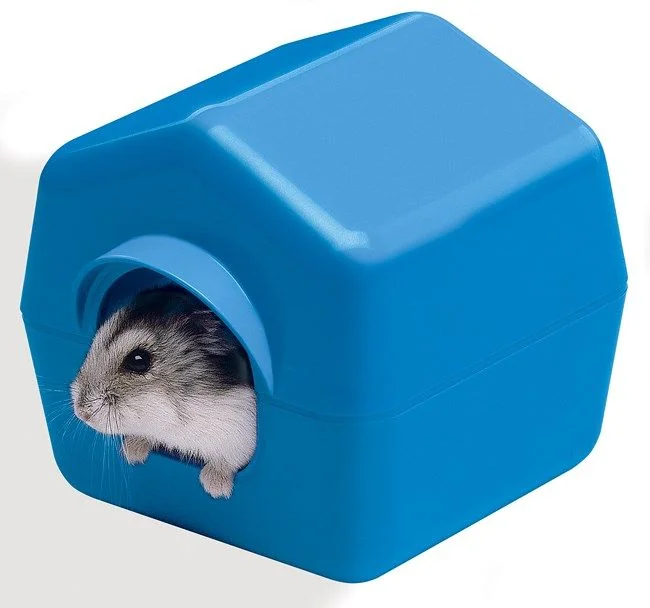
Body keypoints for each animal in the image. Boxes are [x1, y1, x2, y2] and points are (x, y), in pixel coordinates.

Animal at [70, 285, 256, 499]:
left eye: (139, 360)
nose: (81, 413)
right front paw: (131, 454)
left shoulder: (241, 435)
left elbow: (229, 459)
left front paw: (215, 489)